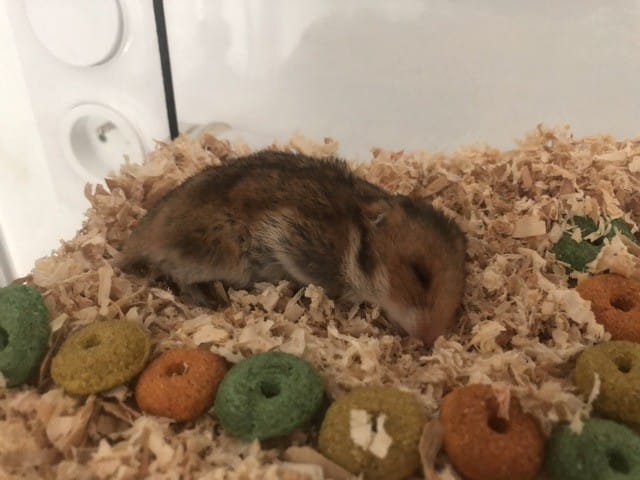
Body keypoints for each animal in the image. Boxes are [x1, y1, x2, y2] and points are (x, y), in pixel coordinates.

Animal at [117, 150, 466, 344]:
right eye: (420, 273)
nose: (432, 339)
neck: (354, 236)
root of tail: (135, 237)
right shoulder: (292, 237)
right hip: (219, 255)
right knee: (177, 274)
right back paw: (208, 303)